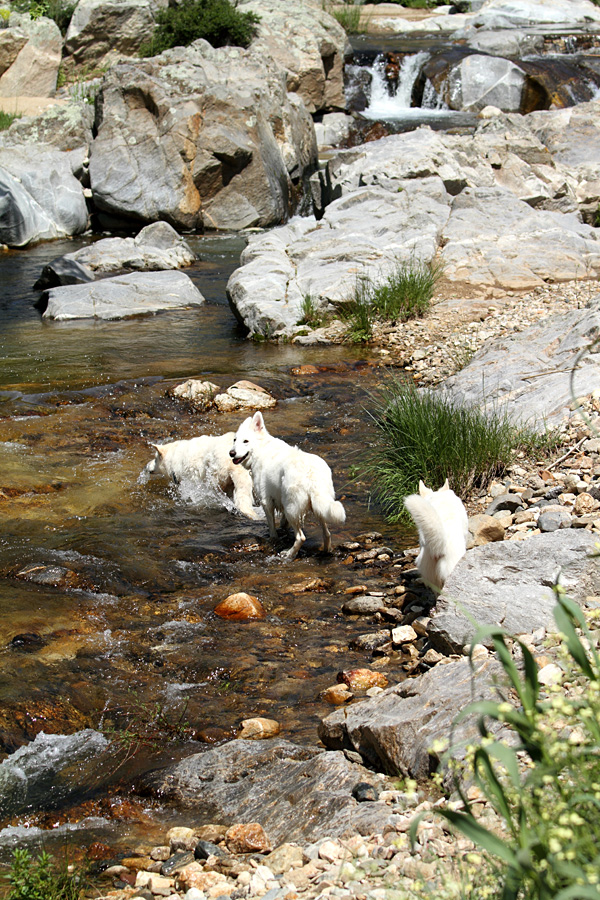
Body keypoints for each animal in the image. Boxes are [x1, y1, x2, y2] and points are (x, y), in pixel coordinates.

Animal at [229, 411, 346, 559]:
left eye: (246, 441)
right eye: (235, 440)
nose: (231, 453)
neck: (261, 449)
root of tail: (311, 473)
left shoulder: (266, 502)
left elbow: (272, 527)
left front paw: (273, 539)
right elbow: (282, 522)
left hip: (292, 508)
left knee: (301, 537)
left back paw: (289, 554)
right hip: (318, 506)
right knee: (327, 534)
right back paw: (326, 552)